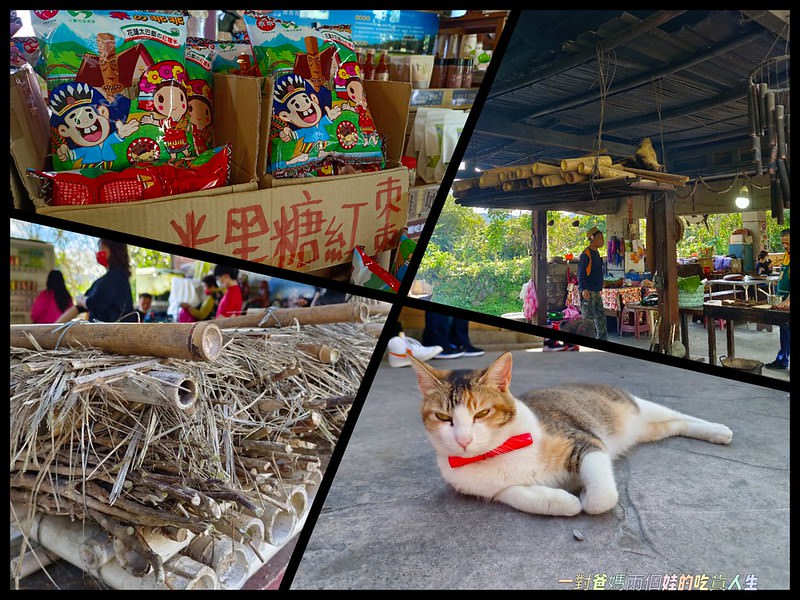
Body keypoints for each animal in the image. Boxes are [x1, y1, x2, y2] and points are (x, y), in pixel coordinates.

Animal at [410, 354, 736, 516]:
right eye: (443, 417)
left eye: (481, 413)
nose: (463, 440)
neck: (499, 451)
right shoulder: (489, 489)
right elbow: (515, 494)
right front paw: (562, 501)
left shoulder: (585, 441)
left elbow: (603, 496)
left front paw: (586, 497)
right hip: (649, 429)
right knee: (673, 424)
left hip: (637, 406)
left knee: (680, 415)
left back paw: (718, 430)